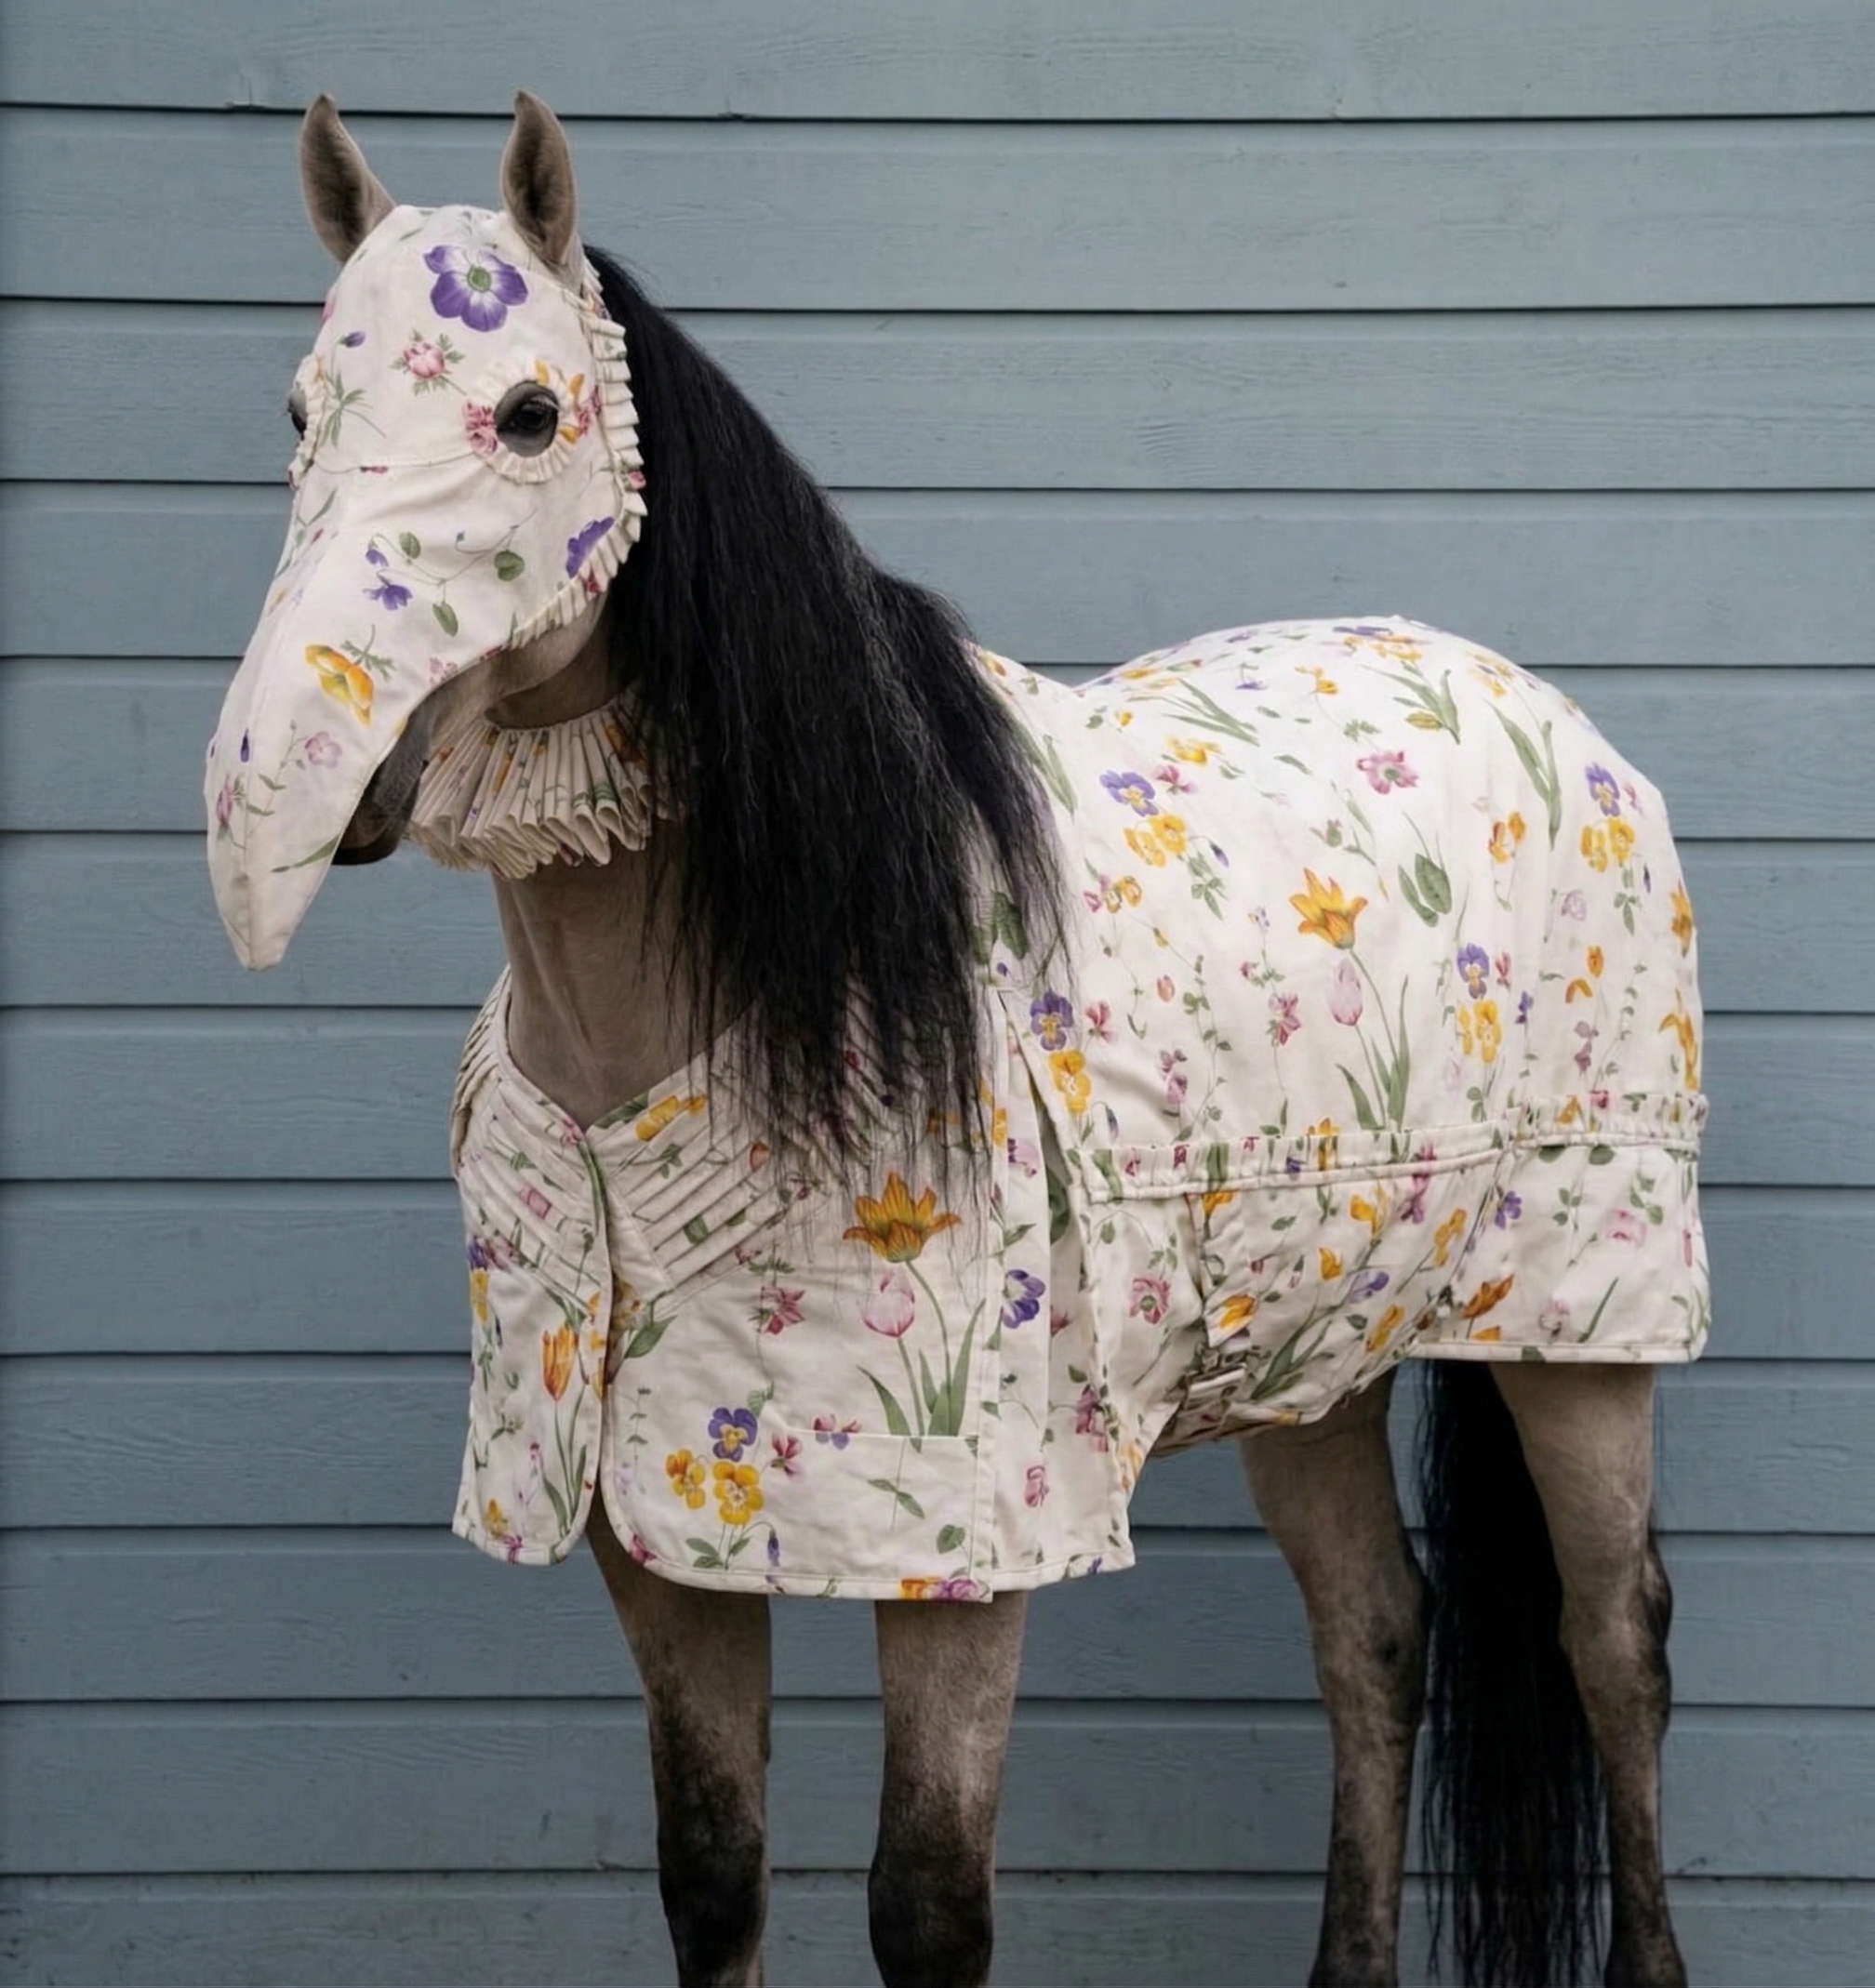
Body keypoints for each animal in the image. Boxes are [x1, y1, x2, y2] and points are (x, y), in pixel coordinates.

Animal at [204, 94, 1708, 1988]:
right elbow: (713, 1866)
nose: (313, 790)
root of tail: (1550, 715)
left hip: (1586, 1322)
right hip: (1311, 1345)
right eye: (298, 411)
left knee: (1613, 1649)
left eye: (532, 411)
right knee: (1375, 1633)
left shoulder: (975, 1535)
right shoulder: (641, 1516)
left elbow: (927, 1900)